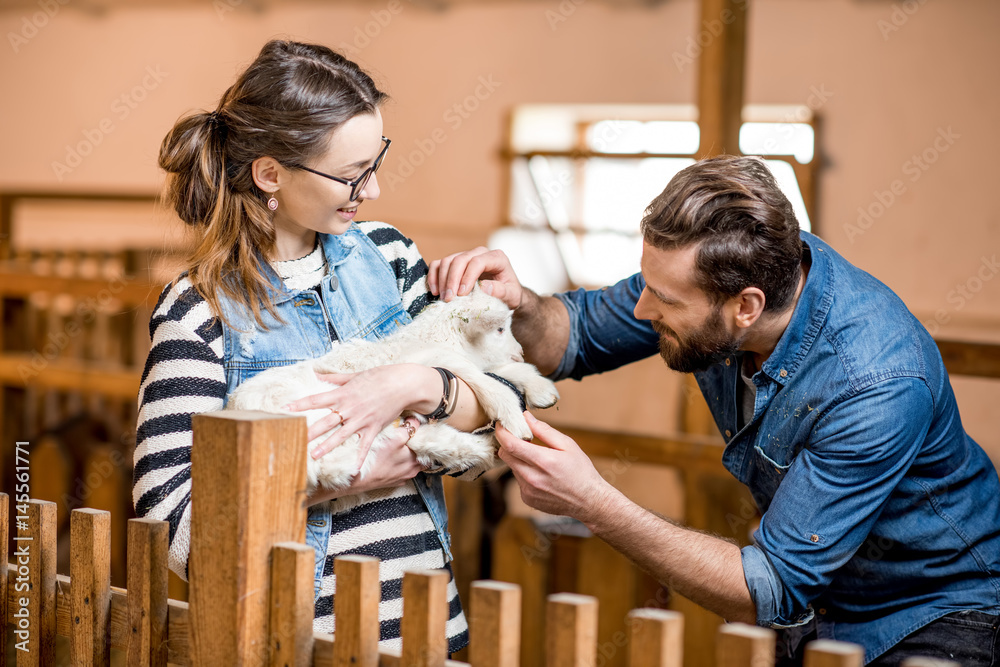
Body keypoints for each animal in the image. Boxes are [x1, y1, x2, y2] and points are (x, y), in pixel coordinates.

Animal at [227, 288, 560, 512]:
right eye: (501, 329)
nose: (519, 351)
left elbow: (501, 372)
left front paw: (542, 390)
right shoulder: (440, 362)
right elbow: (488, 383)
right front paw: (515, 421)